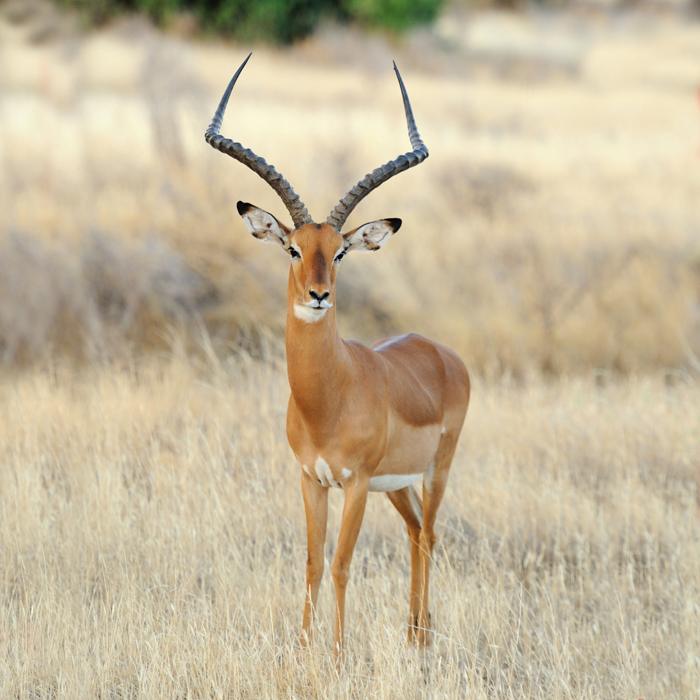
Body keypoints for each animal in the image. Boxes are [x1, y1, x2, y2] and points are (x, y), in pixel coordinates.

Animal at [205, 54, 470, 652]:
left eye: (341, 252)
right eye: (292, 248)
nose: (318, 295)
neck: (327, 398)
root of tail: (441, 352)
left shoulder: (354, 483)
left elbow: (342, 564)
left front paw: (338, 652)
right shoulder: (311, 480)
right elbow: (310, 562)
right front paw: (304, 649)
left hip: (434, 470)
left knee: (431, 533)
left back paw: (423, 636)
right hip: (397, 485)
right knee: (415, 531)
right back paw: (413, 633)